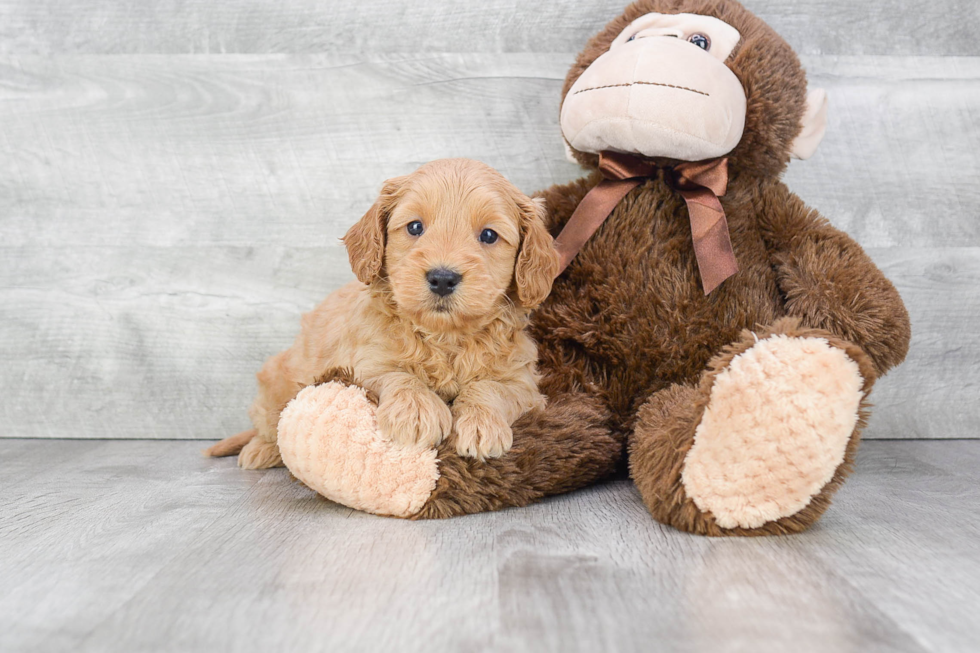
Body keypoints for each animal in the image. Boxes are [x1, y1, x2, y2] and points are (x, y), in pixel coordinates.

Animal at [207, 158, 560, 468]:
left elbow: (491, 387)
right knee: (270, 424)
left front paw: (482, 423)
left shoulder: (523, 382)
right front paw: (417, 410)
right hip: (276, 384)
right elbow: (397, 374)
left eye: (488, 235)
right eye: (415, 227)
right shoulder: (361, 362)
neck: (444, 335)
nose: (442, 278)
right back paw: (260, 450)